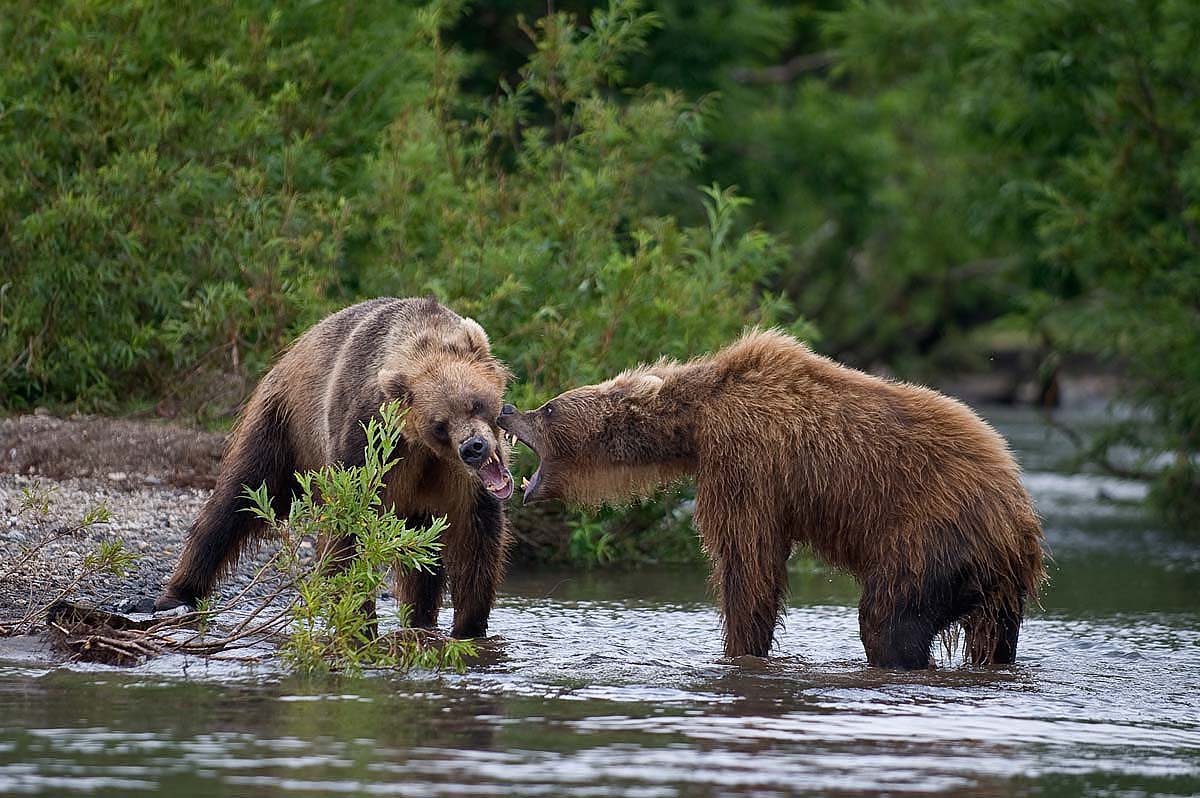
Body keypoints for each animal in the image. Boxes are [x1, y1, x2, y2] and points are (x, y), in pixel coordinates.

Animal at [154, 295, 511, 638]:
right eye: (440, 425)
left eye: (475, 402)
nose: (473, 448)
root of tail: (294, 349)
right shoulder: (367, 441)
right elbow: (346, 530)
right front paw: (360, 624)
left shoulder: (457, 479)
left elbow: (474, 536)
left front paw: (469, 627)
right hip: (283, 427)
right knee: (238, 498)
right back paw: (177, 595)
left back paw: (419, 620)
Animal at [496, 326, 1041, 667]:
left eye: (548, 408)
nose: (506, 409)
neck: (695, 422)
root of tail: (1019, 519)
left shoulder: (746, 460)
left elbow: (747, 560)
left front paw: (739, 648)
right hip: (997, 587)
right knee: (993, 638)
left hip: (932, 537)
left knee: (890, 620)